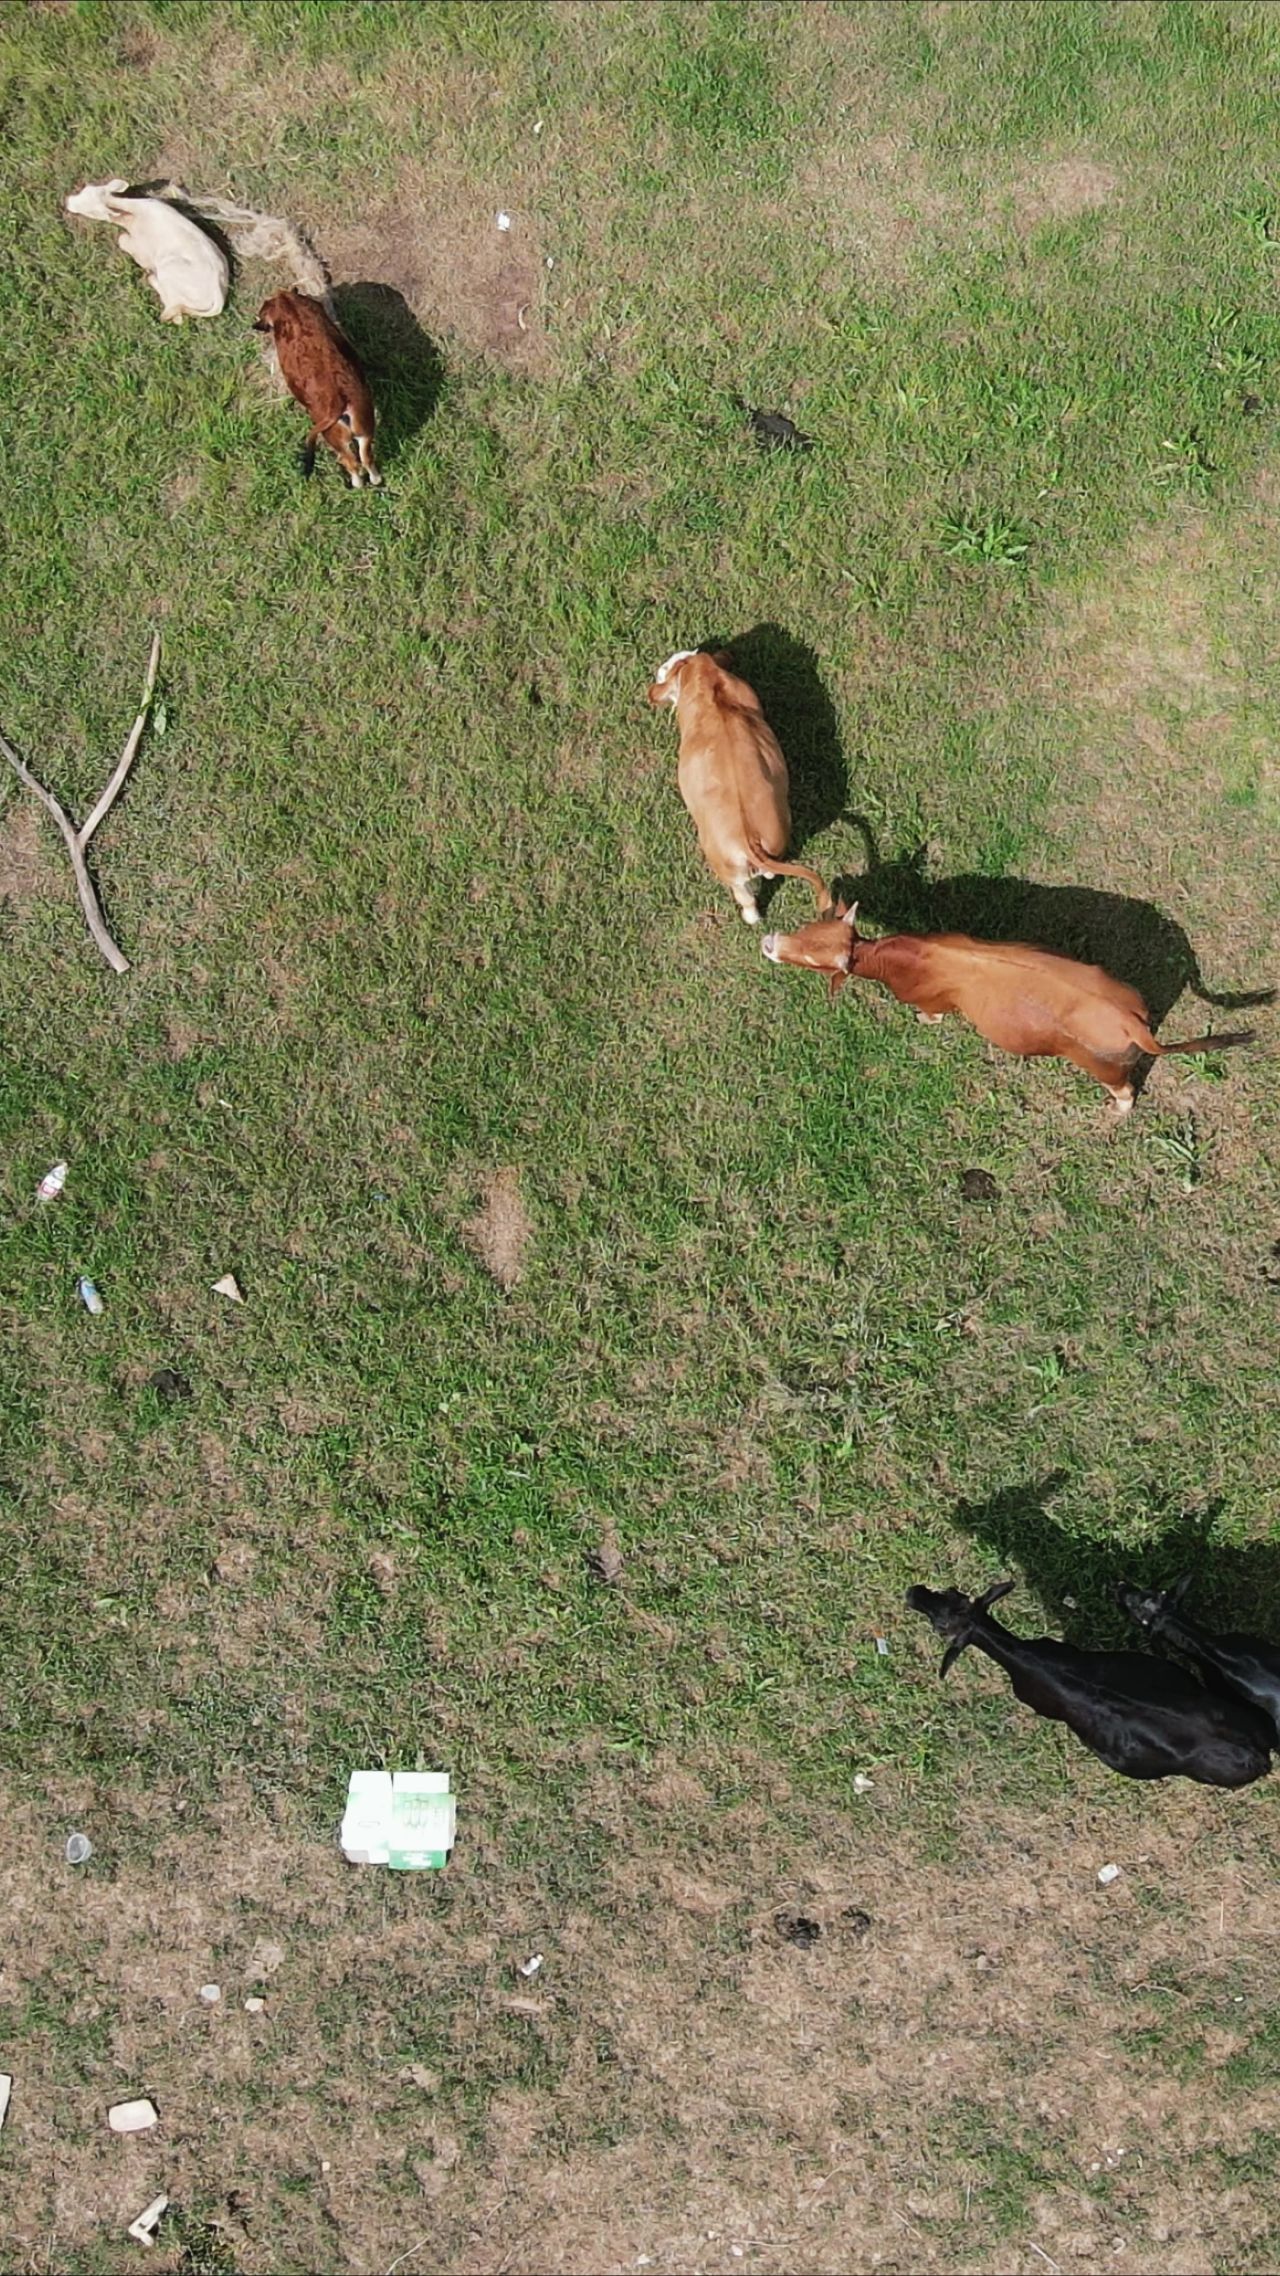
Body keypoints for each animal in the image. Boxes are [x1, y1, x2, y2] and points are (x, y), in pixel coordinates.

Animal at [62, 179, 228, 320]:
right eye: (84, 189)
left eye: (91, 211)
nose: (67, 201)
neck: (134, 214)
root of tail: (219, 295)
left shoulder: (141, 249)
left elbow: (122, 239)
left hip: (168, 268)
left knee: (172, 313)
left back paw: (151, 277)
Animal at [252, 291, 378, 487]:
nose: (255, 325)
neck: (290, 308)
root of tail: (338, 402)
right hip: (364, 425)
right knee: (366, 457)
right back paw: (375, 479)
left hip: (334, 437)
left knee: (351, 462)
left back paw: (356, 483)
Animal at [642, 650, 810, 924]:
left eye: (666, 667)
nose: (658, 670)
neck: (708, 683)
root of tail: (749, 839)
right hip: (779, 831)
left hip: (726, 869)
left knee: (746, 898)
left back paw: (751, 917)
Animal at [756, 887, 1248, 1110]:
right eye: (808, 929)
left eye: (813, 960)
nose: (768, 942)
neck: (900, 958)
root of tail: (1133, 1023)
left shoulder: (931, 1000)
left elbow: (930, 1017)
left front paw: (923, 1024)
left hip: (1102, 1066)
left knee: (1125, 1089)